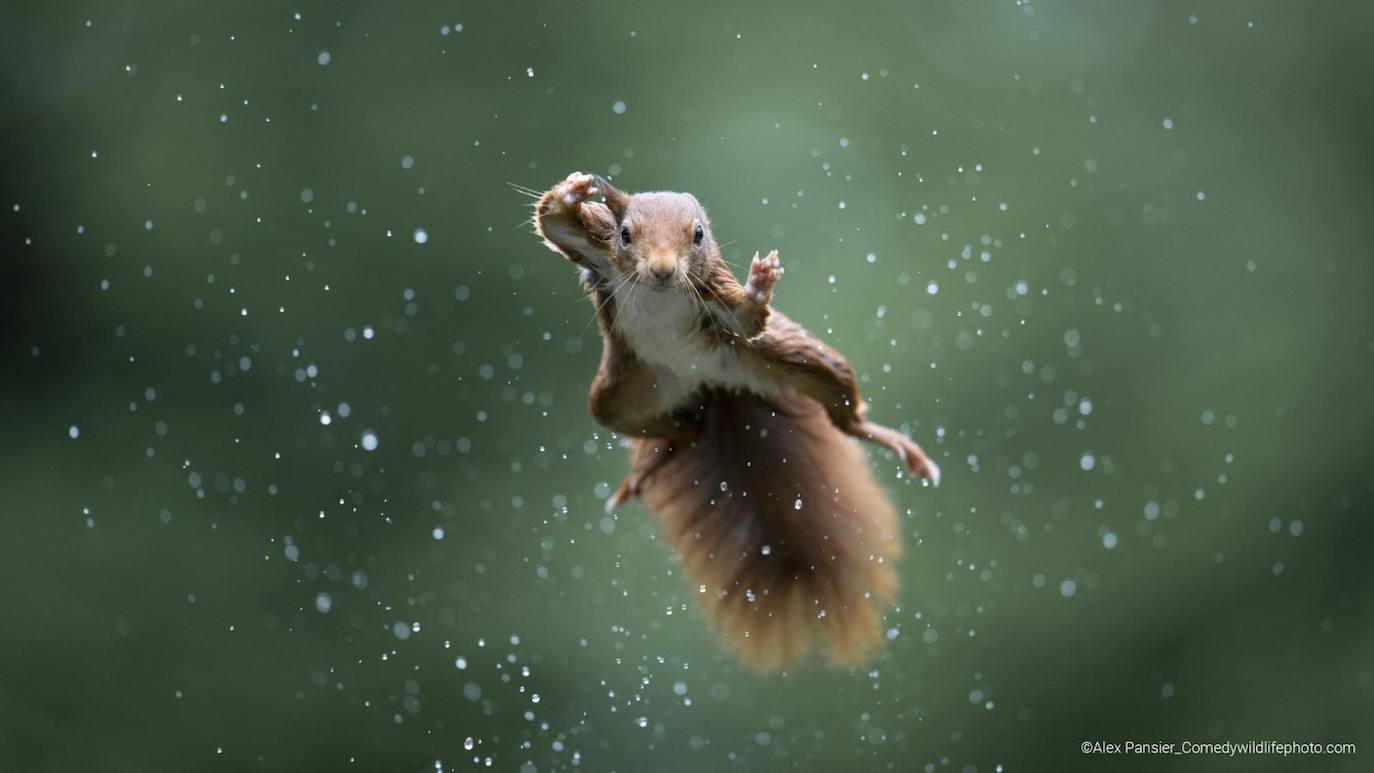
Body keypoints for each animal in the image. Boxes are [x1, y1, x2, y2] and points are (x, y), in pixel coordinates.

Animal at [532, 171, 940, 672]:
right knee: (681, 430)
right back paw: (648, 467)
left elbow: (747, 318)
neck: (662, 293)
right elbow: (554, 223)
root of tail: (711, 385)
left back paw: (899, 445)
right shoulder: (598, 251)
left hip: (795, 359)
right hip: (621, 396)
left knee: (842, 414)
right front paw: (572, 191)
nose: (662, 270)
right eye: (626, 234)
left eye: (698, 235)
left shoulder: (714, 294)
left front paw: (760, 284)